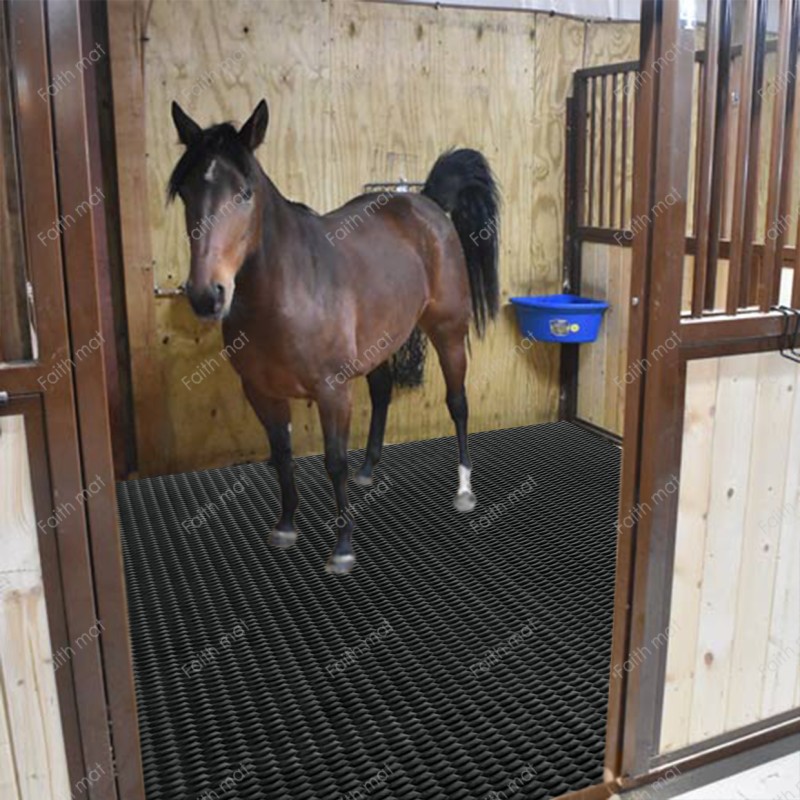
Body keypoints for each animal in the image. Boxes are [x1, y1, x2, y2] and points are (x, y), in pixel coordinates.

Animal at [168, 99, 500, 575]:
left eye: (245, 193)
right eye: (185, 192)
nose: (205, 295)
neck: (287, 292)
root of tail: (425, 202)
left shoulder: (332, 390)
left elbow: (334, 462)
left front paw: (343, 547)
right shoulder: (260, 392)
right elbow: (282, 455)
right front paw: (286, 526)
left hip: (448, 332)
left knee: (458, 403)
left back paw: (464, 490)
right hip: (382, 342)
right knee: (382, 390)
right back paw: (370, 470)